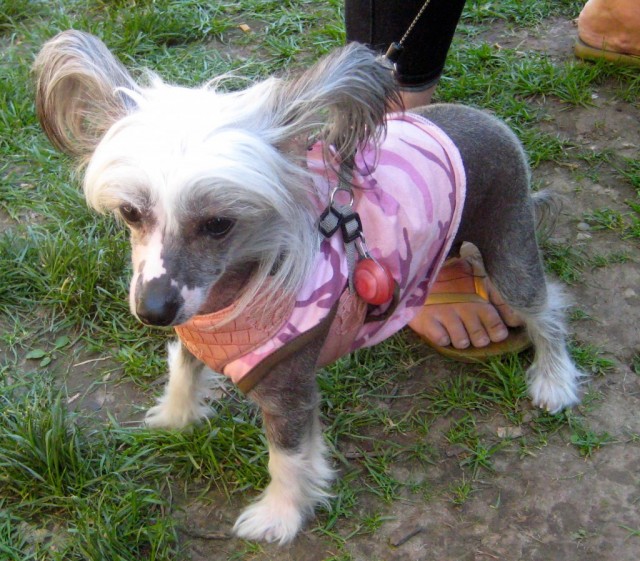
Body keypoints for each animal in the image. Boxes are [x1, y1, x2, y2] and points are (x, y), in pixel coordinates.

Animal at [33, 30, 584, 544]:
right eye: (130, 212)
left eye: (218, 224)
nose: (153, 310)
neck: (231, 300)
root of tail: (484, 117)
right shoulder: (194, 327)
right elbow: (185, 369)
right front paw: (175, 416)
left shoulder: (288, 387)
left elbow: (289, 456)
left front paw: (279, 515)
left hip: (510, 242)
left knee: (546, 308)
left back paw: (554, 380)